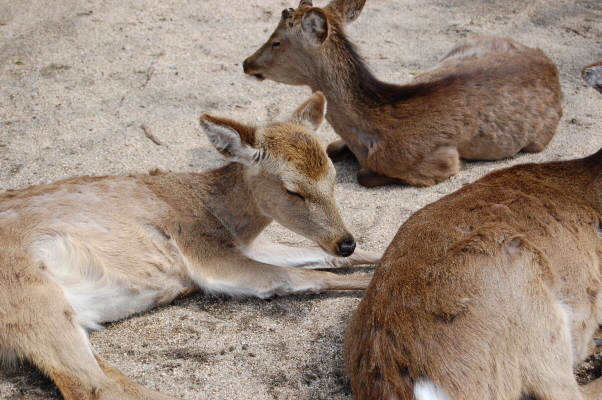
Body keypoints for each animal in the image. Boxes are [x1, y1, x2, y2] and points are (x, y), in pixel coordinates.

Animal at [0, 91, 378, 400]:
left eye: (334, 176)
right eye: (292, 190)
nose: (344, 241)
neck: (220, 214)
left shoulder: (250, 245)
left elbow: (323, 259)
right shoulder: (207, 254)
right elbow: (309, 277)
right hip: (36, 302)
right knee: (94, 387)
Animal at [241, 0, 560, 189]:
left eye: (276, 41)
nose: (246, 62)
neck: (369, 131)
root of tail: (548, 61)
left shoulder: (439, 160)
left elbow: (364, 174)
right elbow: (332, 148)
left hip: (538, 140)